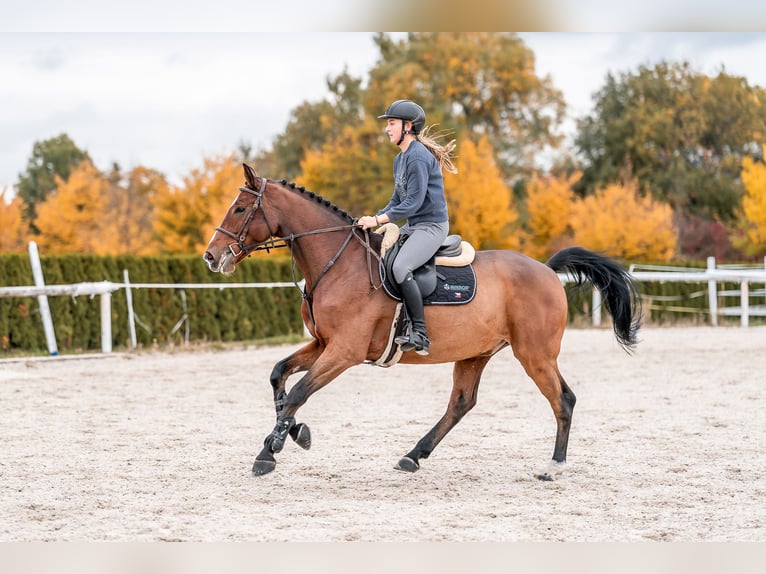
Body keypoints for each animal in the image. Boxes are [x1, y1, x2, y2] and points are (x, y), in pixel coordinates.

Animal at [203, 164, 642, 480]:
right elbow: (279, 375)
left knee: (562, 399)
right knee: (462, 403)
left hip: (534, 354)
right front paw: (290, 433)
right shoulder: (324, 344)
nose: (211, 256)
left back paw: (554, 466)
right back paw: (414, 455)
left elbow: (297, 393)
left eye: (239, 209)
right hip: (476, 353)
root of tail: (547, 271)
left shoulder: (344, 351)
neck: (337, 264)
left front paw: (269, 452)